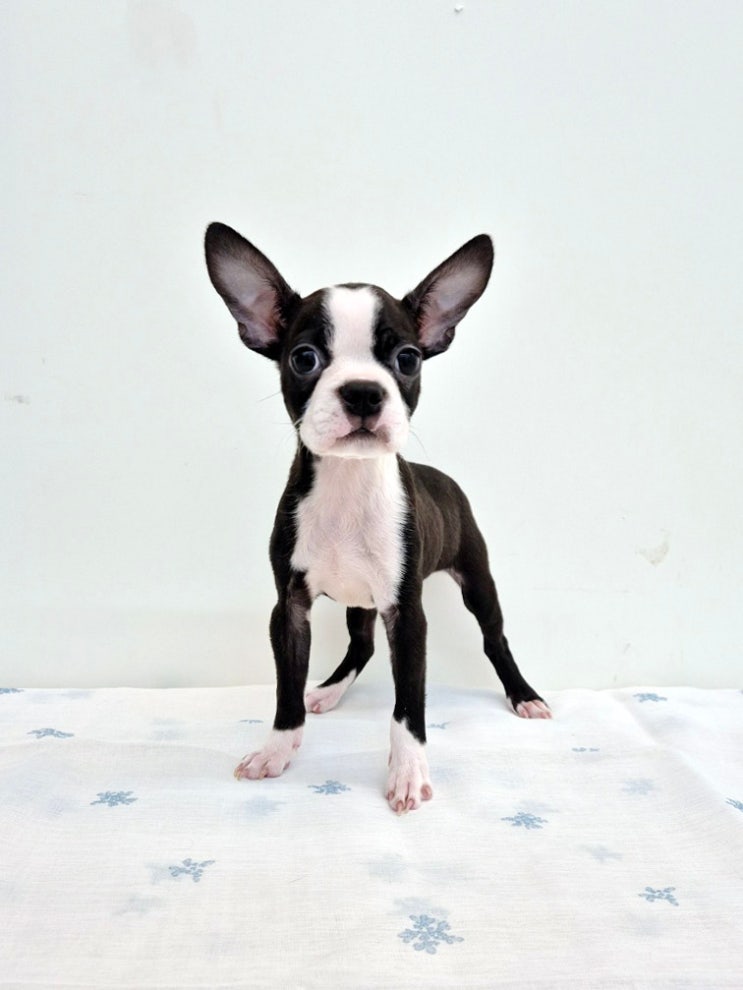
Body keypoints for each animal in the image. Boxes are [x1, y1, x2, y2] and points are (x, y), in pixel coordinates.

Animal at [204, 223, 550, 814]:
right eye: (303, 358)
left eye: (408, 359)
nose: (364, 391)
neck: (348, 481)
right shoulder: (289, 610)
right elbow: (285, 687)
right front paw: (277, 748)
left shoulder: (407, 614)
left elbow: (408, 704)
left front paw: (407, 771)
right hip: (360, 602)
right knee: (361, 645)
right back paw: (327, 690)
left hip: (476, 579)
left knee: (494, 639)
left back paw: (524, 695)